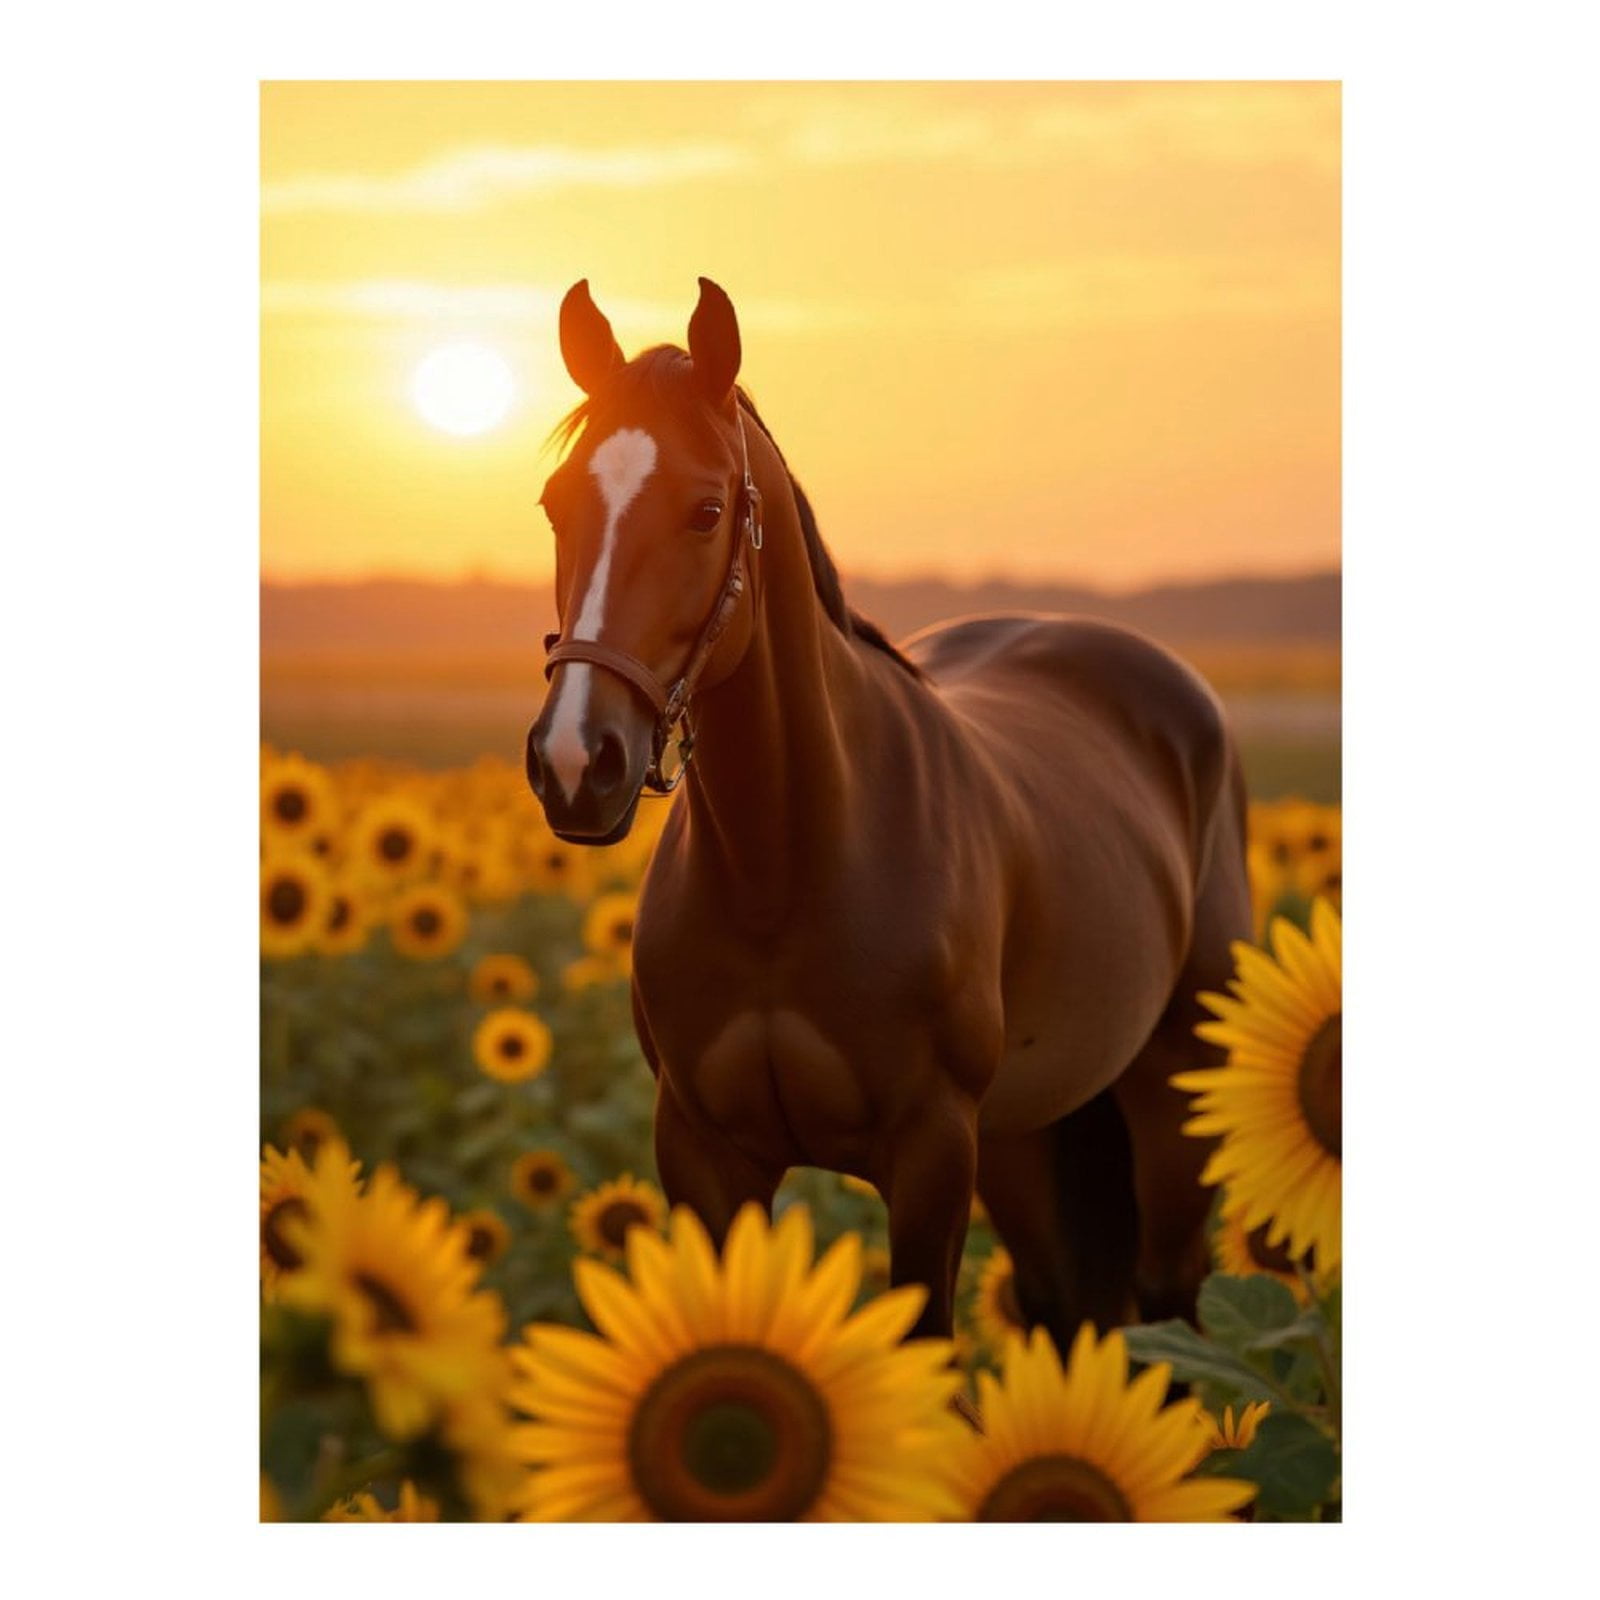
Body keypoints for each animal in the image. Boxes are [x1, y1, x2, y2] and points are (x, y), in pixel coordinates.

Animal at [524, 278, 1251, 1350]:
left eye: (706, 509)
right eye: (555, 503)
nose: (577, 762)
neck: (785, 868)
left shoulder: (930, 1156)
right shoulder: (701, 1152)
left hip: (1170, 1106)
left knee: (1176, 1306)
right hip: (1027, 1138)